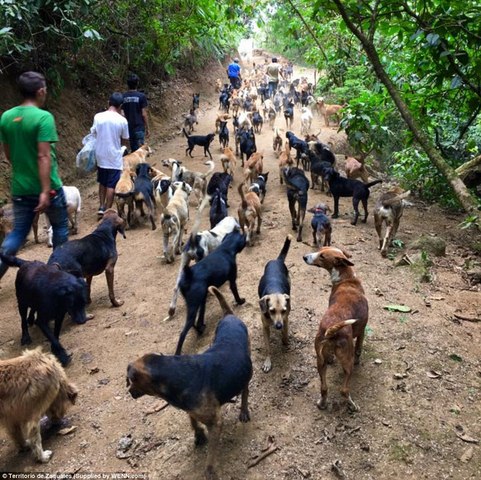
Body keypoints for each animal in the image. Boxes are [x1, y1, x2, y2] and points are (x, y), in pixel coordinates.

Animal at [125, 284, 253, 480]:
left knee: (245, 390)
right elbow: (192, 420)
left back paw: (244, 410)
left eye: (131, 380)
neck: (173, 373)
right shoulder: (191, 408)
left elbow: (211, 455)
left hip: (246, 368)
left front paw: (210, 471)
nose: (129, 392)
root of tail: (229, 316)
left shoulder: (216, 423)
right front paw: (199, 434)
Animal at [304, 248, 368, 412]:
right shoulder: (362, 331)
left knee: (324, 388)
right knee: (344, 390)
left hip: (319, 362)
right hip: (347, 362)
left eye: (322, 254)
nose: (304, 257)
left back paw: (322, 404)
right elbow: (359, 349)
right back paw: (352, 405)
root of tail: (331, 330)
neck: (346, 279)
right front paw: (359, 360)